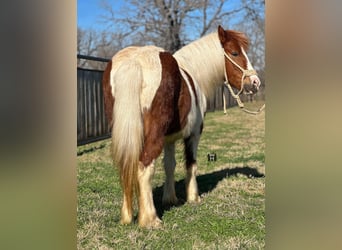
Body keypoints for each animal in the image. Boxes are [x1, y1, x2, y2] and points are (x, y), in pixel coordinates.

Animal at [103, 25, 260, 229]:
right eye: (234, 52)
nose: (255, 82)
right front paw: (193, 197)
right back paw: (150, 220)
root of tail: (134, 61)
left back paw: (127, 217)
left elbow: (169, 165)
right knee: (144, 167)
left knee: (125, 167)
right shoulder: (194, 134)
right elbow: (191, 164)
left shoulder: (169, 139)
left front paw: (170, 199)